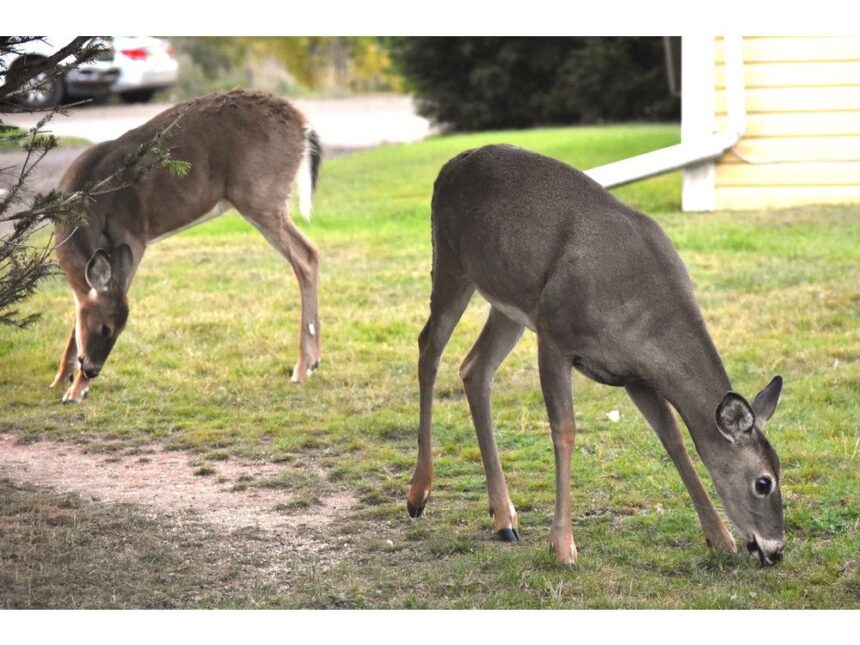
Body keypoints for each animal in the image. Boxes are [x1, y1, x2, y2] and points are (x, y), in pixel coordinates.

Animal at [50, 89, 322, 403]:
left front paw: (75, 390)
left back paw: (303, 367)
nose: (92, 370)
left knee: (306, 255)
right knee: (310, 253)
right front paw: (60, 379)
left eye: (117, 329)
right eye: (105, 328)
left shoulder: (134, 234)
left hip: (260, 194)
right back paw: (312, 362)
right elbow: (80, 304)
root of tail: (303, 126)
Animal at [406, 144, 786, 566]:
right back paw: (418, 494)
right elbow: (565, 429)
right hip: (451, 263)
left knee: (475, 367)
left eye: (781, 470)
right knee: (428, 348)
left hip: (509, 302)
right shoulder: (555, 334)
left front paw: (719, 537)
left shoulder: (636, 374)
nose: (776, 549)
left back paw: (504, 518)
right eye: (763, 482)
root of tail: (451, 165)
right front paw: (562, 546)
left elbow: (672, 436)